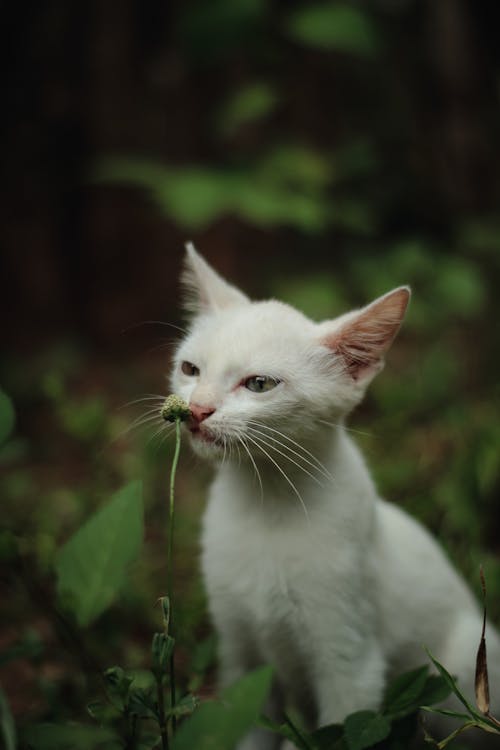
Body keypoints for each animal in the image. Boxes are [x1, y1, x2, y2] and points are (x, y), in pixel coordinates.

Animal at [171, 245, 496, 748]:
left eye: (259, 384)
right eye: (190, 369)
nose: (196, 410)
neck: (267, 502)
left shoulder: (350, 661)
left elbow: (342, 726)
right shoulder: (242, 659)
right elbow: (249, 728)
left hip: (469, 664)